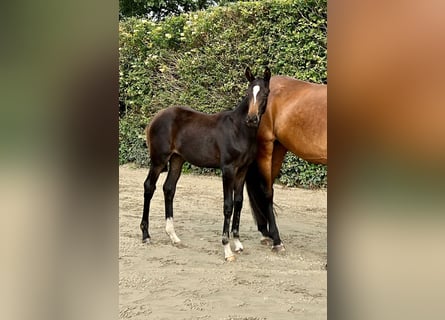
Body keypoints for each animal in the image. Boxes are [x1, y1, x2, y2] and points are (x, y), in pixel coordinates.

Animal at [140, 66, 270, 262]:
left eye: (265, 93)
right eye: (248, 93)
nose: (252, 119)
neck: (239, 130)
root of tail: (156, 117)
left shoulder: (242, 170)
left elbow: (239, 202)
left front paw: (238, 243)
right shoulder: (228, 170)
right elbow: (228, 206)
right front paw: (227, 249)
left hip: (177, 159)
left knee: (168, 189)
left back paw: (173, 236)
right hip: (158, 160)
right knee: (149, 187)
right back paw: (146, 235)